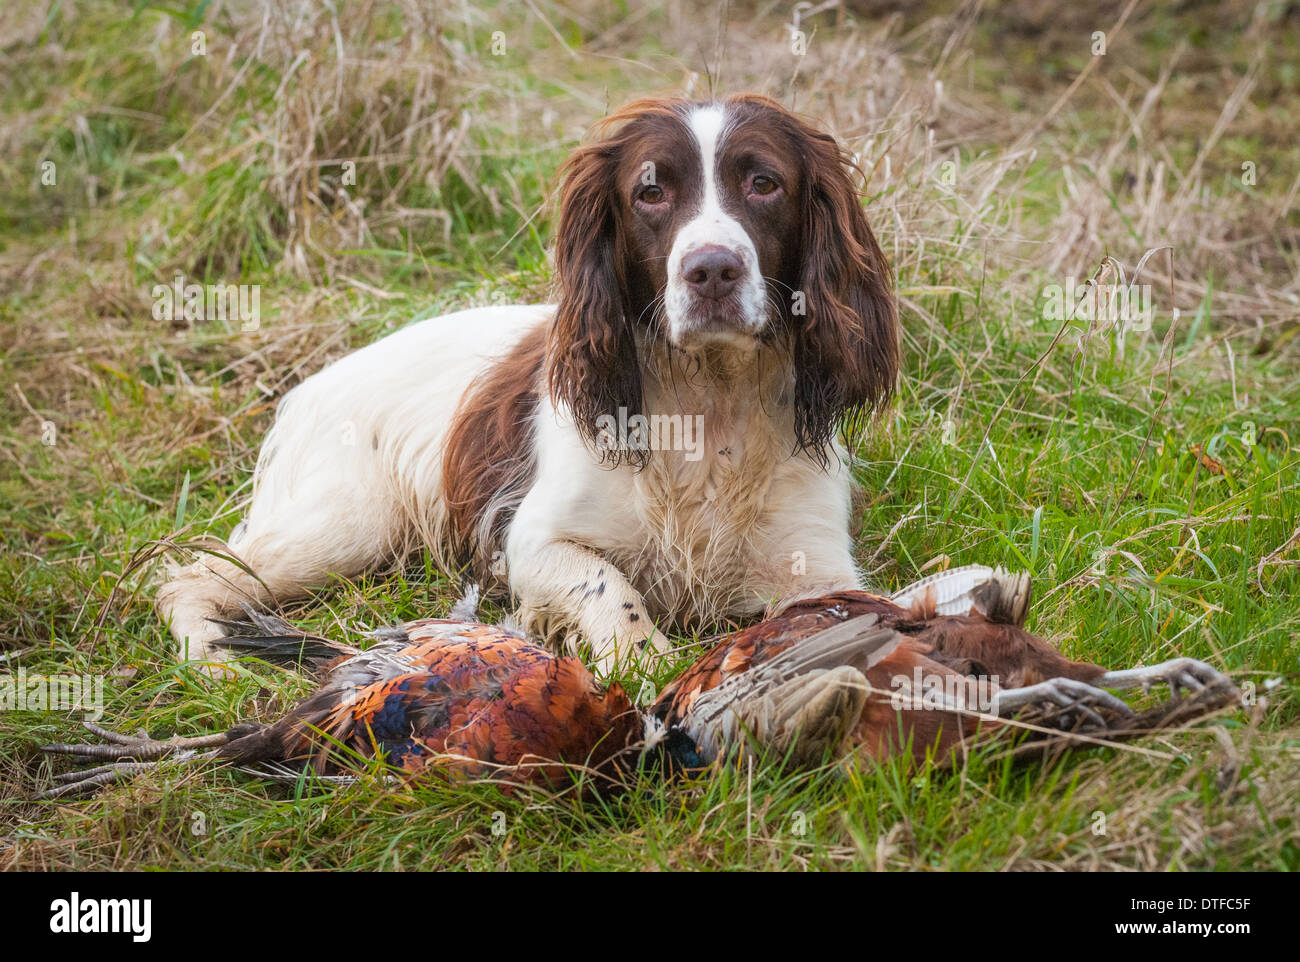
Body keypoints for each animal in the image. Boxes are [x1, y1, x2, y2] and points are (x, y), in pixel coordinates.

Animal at [157, 94, 899, 670]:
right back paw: (211, 659)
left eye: (764, 184)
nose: (712, 270)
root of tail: (310, 385)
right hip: (344, 525)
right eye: (650, 192)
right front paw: (647, 668)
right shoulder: (530, 539)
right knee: (189, 576)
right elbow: (610, 585)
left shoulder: (817, 562)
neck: (708, 403)